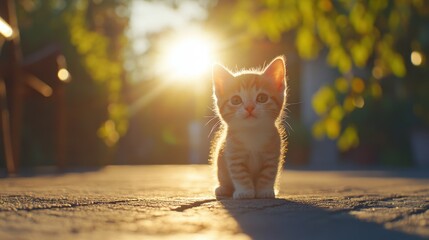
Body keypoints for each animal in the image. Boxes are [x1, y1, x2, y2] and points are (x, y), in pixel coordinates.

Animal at [209, 55, 286, 199]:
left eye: (262, 98)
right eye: (236, 100)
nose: (249, 107)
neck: (252, 132)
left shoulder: (272, 155)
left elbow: (268, 174)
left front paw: (264, 191)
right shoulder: (233, 155)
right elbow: (240, 175)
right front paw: (244, 192)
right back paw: (222, 189)